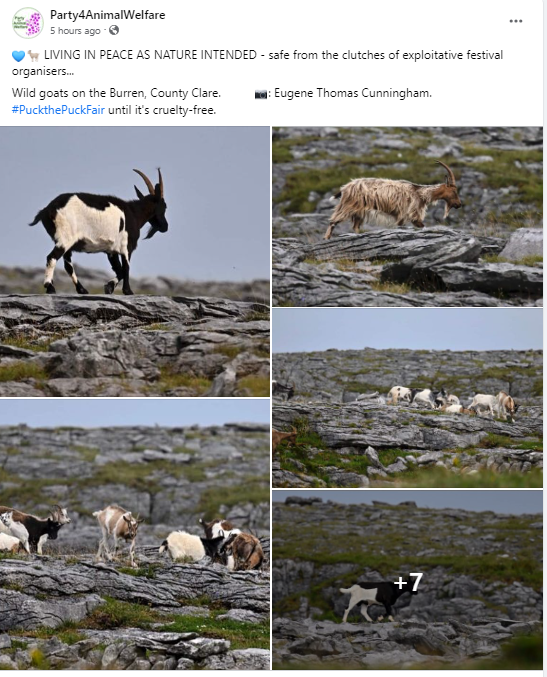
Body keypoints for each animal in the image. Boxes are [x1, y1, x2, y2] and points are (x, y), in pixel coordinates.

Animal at [29, 168, 167, 295]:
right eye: (164, 206)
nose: (165, 227)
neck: (134, 213)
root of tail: (47, 209)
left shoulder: (111, 251)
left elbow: (119, 270)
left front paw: (109, 287)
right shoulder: (127, 246)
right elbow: (126, 267)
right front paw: (128, 291)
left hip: (65, 242)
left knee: (67, 265)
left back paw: (82, 290)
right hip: (65, 238)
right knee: (52, 257)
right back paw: (50, 287)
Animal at [324, 161, 461, 239]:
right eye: (454, 191)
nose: (459, 204)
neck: (420, 193)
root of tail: (345, 188)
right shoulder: (412, 213)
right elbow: (420, 225)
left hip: (358, 212)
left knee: (355, 226)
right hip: (348, 206)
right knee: (333, 221)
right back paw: (327, 238)